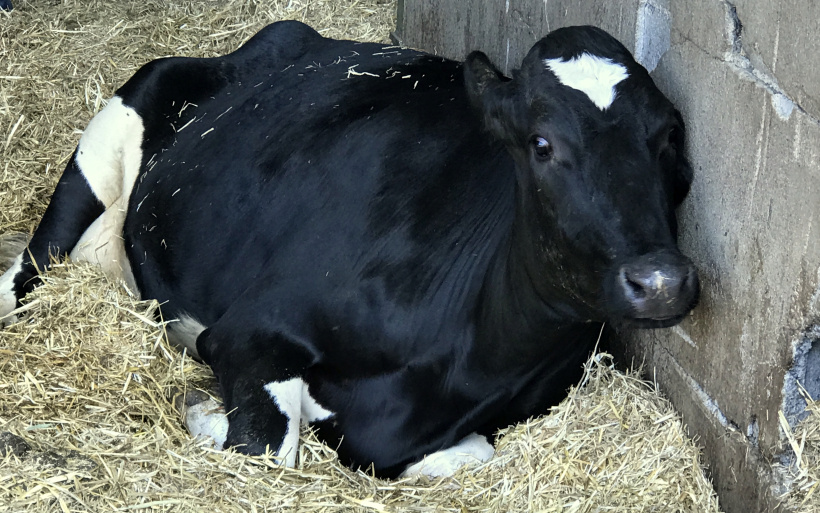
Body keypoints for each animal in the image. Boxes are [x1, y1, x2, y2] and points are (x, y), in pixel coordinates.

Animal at [0, 20, 700, 476]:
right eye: (541, 143)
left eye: (669, 135)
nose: (661, 280)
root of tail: (286, 38)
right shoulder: (247, 330)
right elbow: (269, 449)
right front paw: (204, 413)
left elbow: (468, 455)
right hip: (113, 132)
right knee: (30, 269)